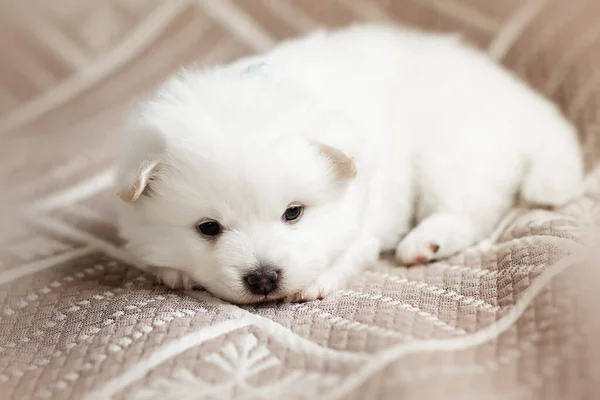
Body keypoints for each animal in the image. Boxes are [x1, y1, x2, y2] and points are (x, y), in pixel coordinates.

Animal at [115, 23, 584, 304]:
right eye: (208, 228)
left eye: (293, 213)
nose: (263, 279)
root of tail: (522, 100)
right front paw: (175, 272)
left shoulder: (373, 208)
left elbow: (349, 247)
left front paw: (316, 281)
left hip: (452, 153)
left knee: (470, 208)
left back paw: (424, 241)